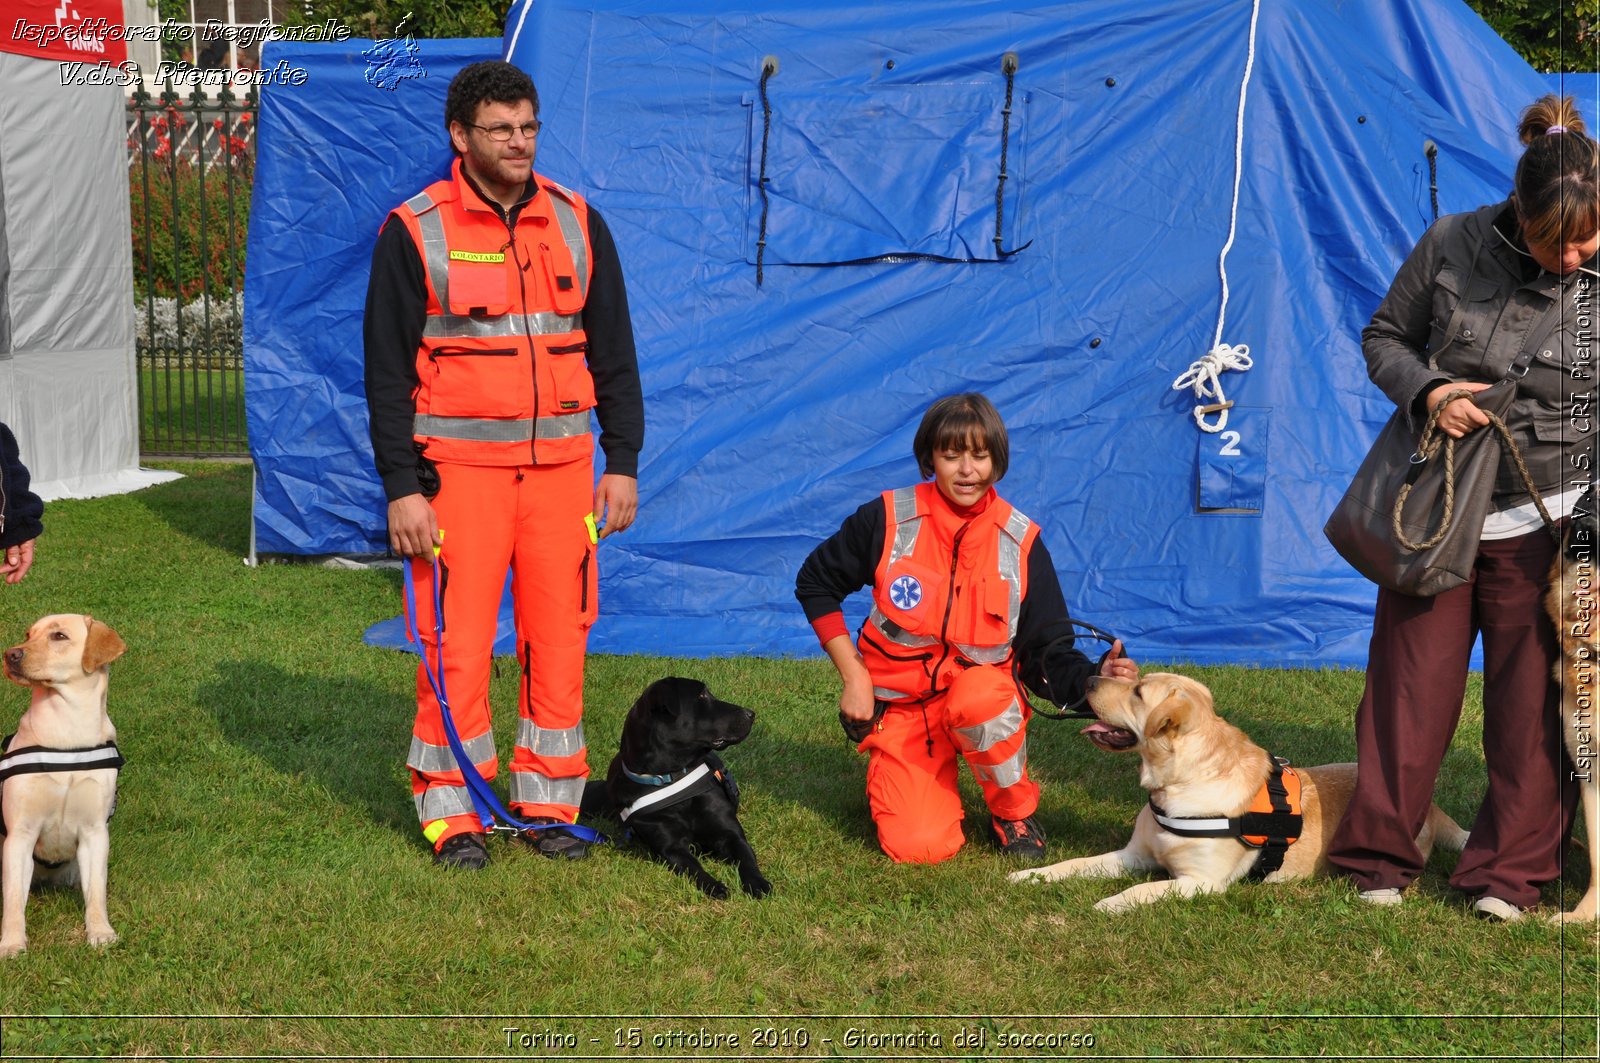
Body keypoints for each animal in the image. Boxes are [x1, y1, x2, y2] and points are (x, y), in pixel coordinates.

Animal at [0, 614, 126, 954]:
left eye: (59, 636)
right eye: (28, 634)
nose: (10, 654)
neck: (67, 731)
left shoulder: (95, 832)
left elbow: (96, 892)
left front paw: (100, 932)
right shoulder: (20, 834)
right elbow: (13, 900)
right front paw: (11, 943)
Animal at [588, 681, 774, 896]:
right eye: (702, 696)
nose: (750, 713)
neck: (672, 777)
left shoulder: (731, 834)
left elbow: (747, 860)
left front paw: (757, 883)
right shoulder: (671, 847)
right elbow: (694, 868)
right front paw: (714, 886)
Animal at [1011, 672, 1465, 915]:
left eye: (1138, 692)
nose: (1089, 677)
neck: (1178, 784)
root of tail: (1434, 809)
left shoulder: (1199, 882)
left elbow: (1143, 889)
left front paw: (1109, 903)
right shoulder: (1133, 855)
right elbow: (1076, 864)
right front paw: (1032, 875)